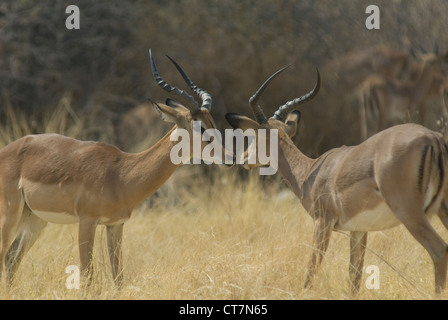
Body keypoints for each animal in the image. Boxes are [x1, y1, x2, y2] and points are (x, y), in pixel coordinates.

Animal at [228, 65, 448, 296]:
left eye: (255, 137)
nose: (241, 158)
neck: (308, 172)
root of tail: (433, 138)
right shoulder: (358, 229)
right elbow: (354, 277)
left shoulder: (322, 222)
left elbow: (311, 270)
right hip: (442, 208)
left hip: (410, 213)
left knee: (439, 250)